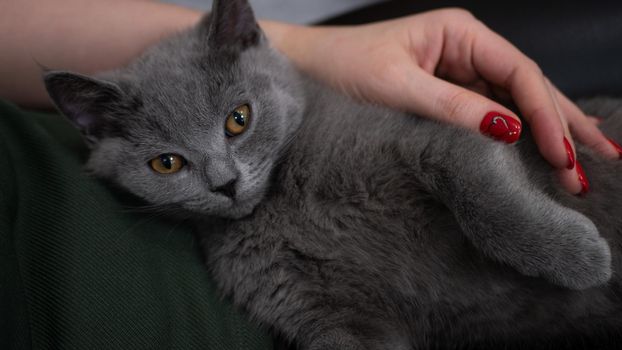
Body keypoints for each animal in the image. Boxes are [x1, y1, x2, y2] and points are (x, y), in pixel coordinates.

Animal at [44, 1, 622, 348]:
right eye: (167, 163)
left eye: (238, 119)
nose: (225, 184)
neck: (284, 199)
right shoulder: (320, 312)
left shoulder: (449, 131)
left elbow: (484, 197)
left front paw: (579, 258)